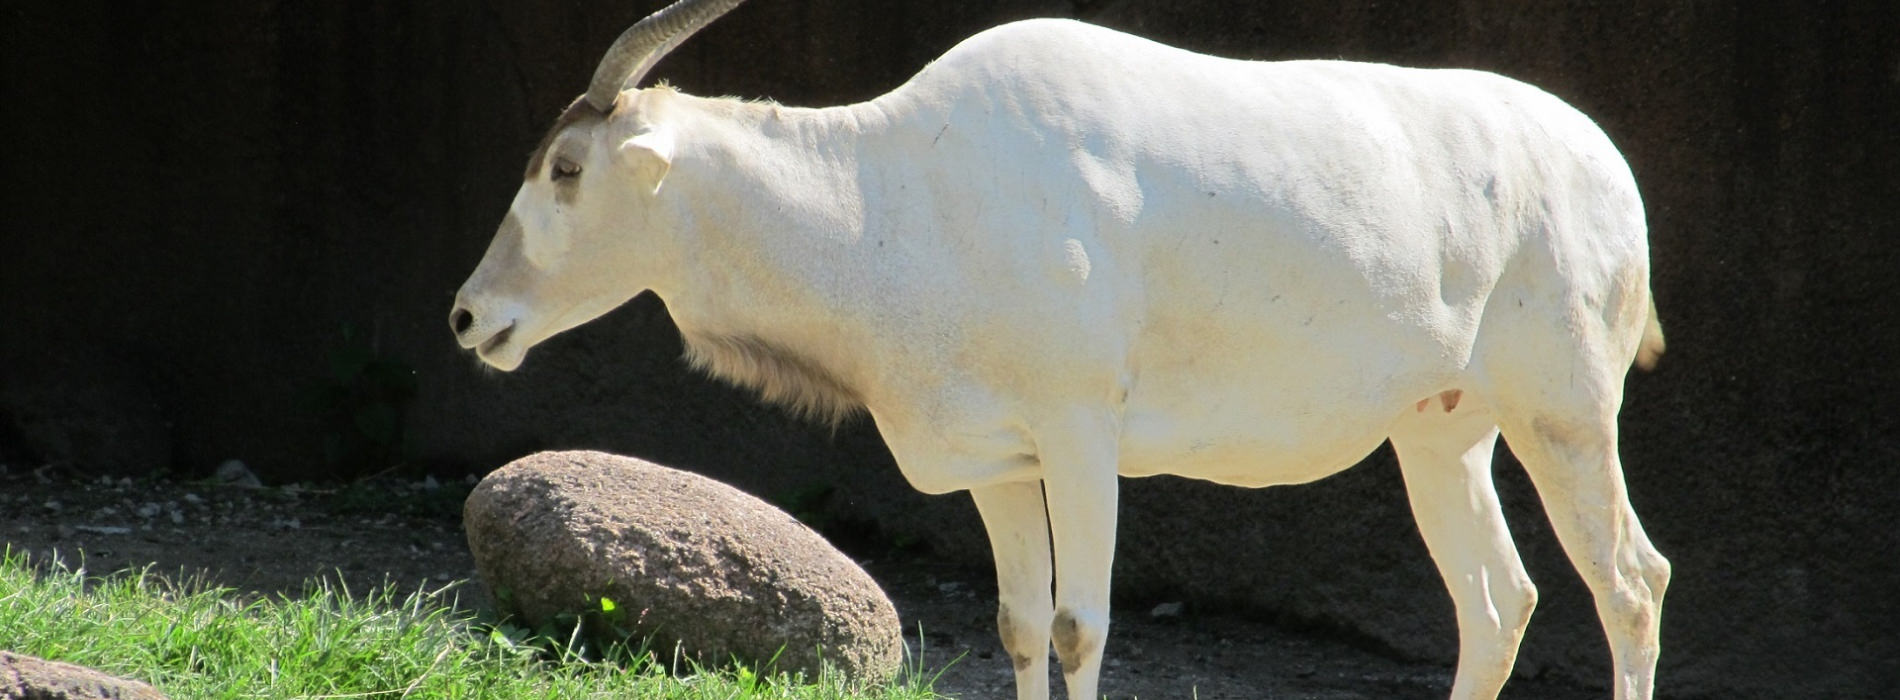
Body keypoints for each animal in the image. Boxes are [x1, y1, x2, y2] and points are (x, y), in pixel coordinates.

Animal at [449, 1, 1672, 698]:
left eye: (565, 168)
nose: (469, 318)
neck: (896, 186)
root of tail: (1605, 164)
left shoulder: (1082, 434)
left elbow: (1083, 628)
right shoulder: (1001, 462)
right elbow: (1021, 623)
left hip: (1565, 417)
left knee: (1627, 582)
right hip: (1441, 434)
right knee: (1497, 602)